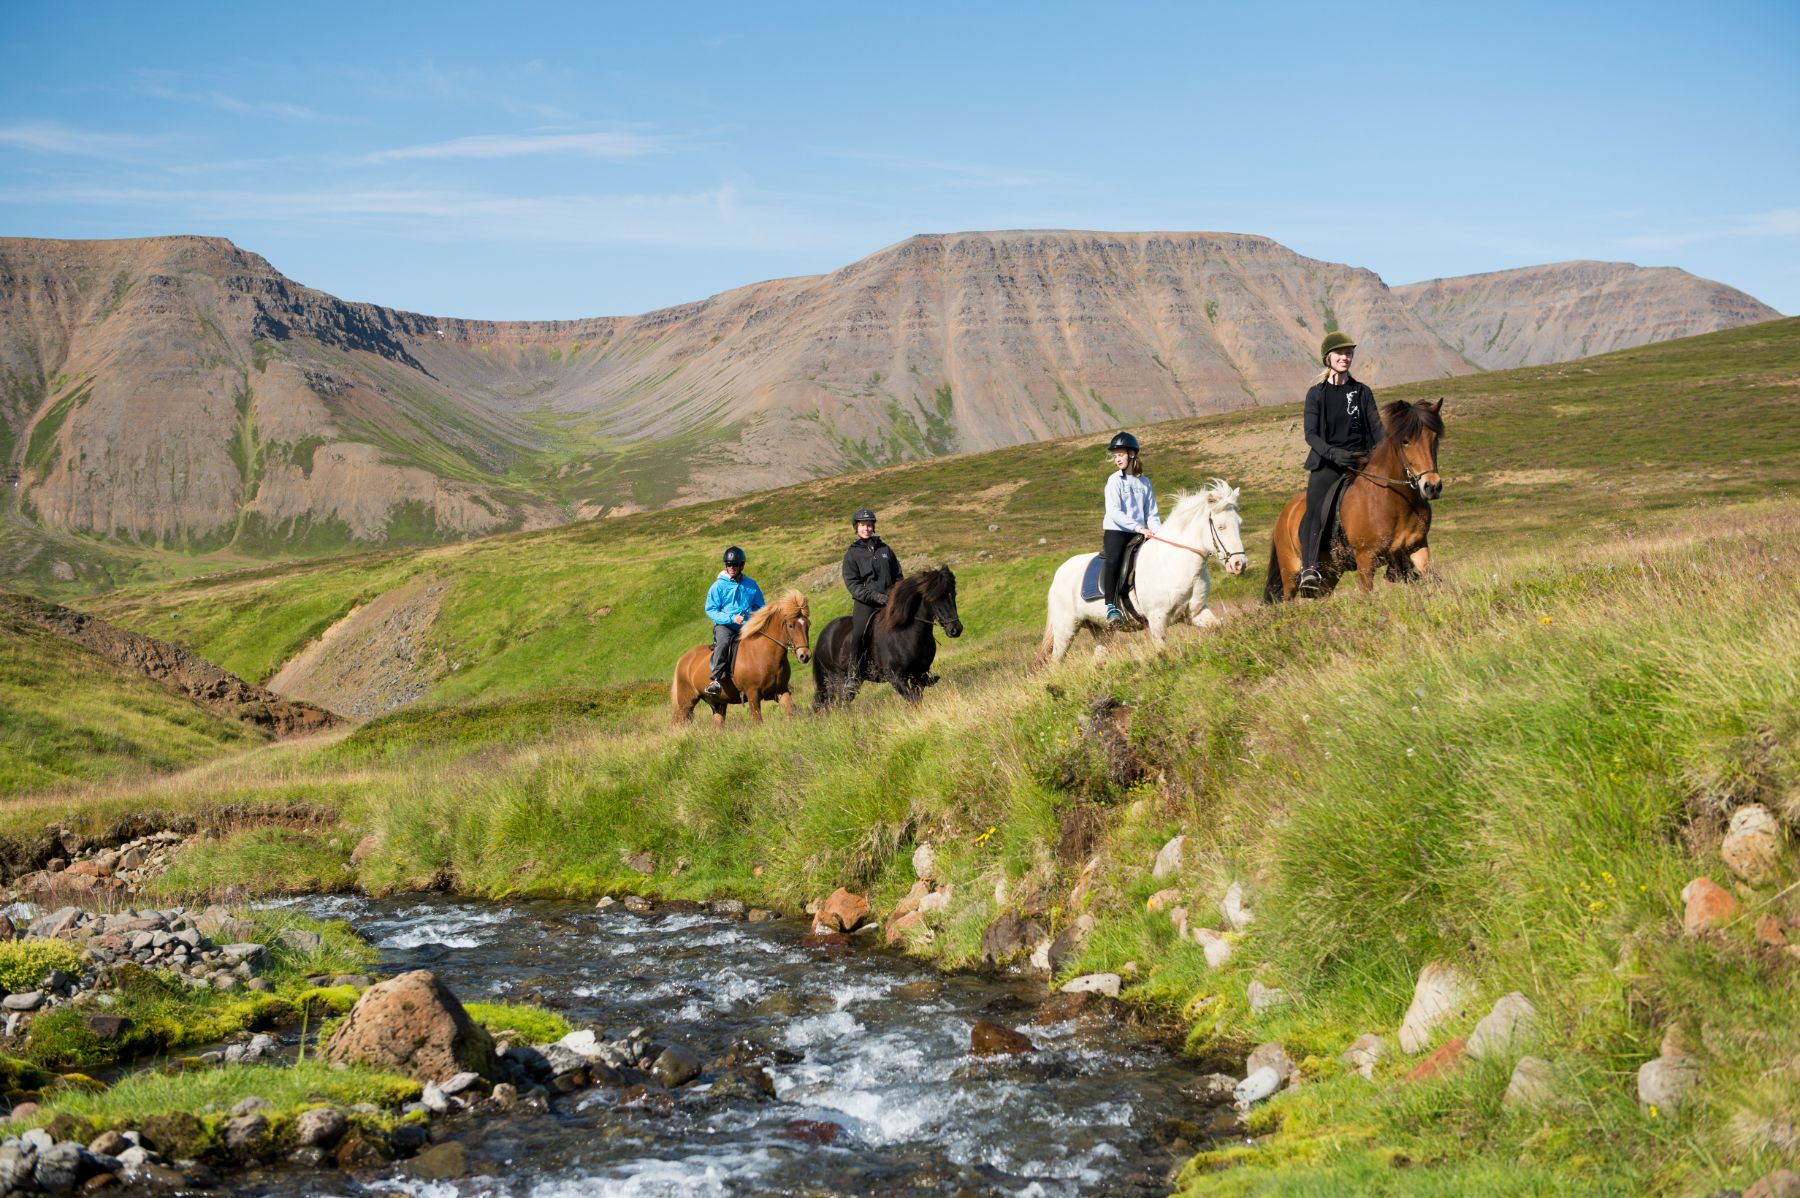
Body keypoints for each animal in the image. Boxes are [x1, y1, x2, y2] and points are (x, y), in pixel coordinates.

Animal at [673, 590, 813, 723]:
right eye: (791, 625)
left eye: (808, 624)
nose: (804, 655)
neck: (763, 654)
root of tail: (682, 660)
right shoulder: (752, 694)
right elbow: (757, 721)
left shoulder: (781, 690)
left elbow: (791, 710)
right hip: (686, 702)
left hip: (717, 703)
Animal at [813, 561, 964, 705]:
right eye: (934, 598)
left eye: (954, 594)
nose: (955, 629)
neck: (905, 634)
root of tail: (824, 635)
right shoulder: (896, 677)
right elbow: (912, 699)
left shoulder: (918, 675)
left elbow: (917, 699)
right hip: (837, 678)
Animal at [1051, 478, 1245, 661]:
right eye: (1221, 526)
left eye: (1239, 524)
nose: (1239, 564)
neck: (1173, 563)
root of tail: (1059, 572)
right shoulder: (1157, 621)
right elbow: (1162, 652)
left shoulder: (1195, 613)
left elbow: (1218, 626)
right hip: (1066, 630)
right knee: (1056, 661)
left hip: (1102, 630)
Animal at [1267, 399, 1447, 597]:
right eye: (1405, 441)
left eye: (1434, 438)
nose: (1432, 486)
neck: (1395, 502)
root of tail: (1285, 514)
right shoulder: (1365, 559)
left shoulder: (1417, 547)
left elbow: (1432, 580)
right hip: (1290, 574)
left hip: (1330, 575)